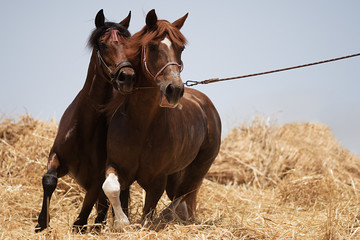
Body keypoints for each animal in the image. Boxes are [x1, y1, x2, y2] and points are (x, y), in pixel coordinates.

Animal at [35, 9, 136, 232]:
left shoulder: (97, 176)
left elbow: (86, 212)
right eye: (103, 44)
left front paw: (81, 224)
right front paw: (42, 223)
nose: (127, 77)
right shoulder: (56, 156)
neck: (85, 126)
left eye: (131, 46)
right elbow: (49, 180)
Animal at [102, 10, 222, 230]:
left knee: (183, 194)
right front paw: (122, 223)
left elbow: (148, 214)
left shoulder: (157, 180)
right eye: (152, 46)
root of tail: (205, 104)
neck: (140, 125)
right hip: (177, 173)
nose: (174, 90)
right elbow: (111, 187)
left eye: (181, 48)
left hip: (199, 167)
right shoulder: (116, 166)